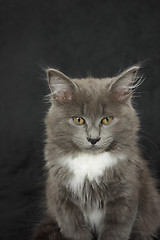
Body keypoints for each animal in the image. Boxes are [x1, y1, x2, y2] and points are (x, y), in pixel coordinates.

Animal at [32, 65, 160, 240]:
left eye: (107, 119)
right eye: (79, 120)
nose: (93, 139)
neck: (90, 162)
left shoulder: (124, 196)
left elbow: (115, 231)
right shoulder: (63, 199)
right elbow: (75, 231)